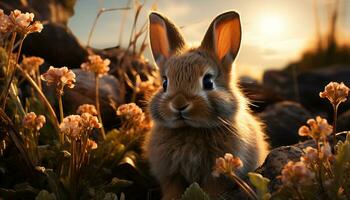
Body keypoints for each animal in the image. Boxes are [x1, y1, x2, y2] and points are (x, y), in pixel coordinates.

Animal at [144, 11, 270, 200]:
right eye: (165, 83)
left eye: (208, 82)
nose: (179, 104)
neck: (190, 129)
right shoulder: (171, 174)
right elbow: (173, 189)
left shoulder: (217, 175)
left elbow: (212, 189)